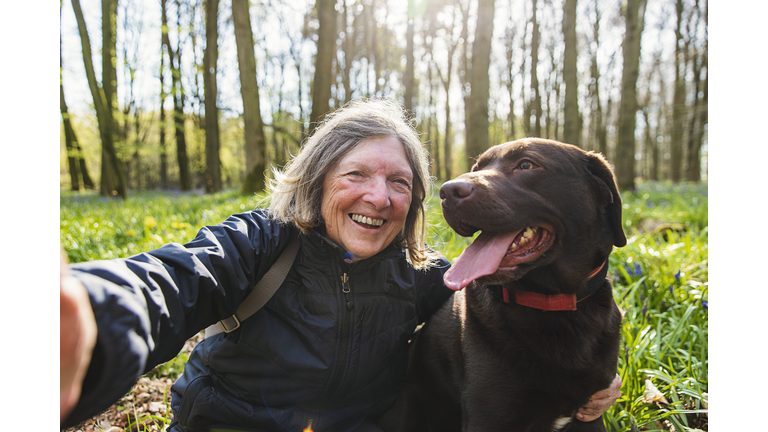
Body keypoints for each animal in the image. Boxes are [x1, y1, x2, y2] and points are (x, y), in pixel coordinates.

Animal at [378, 139, 624, 432]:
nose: (448, 192)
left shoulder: (590, 414)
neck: (554, 303)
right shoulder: (490, 415)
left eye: (527, 164)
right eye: (476, 168)